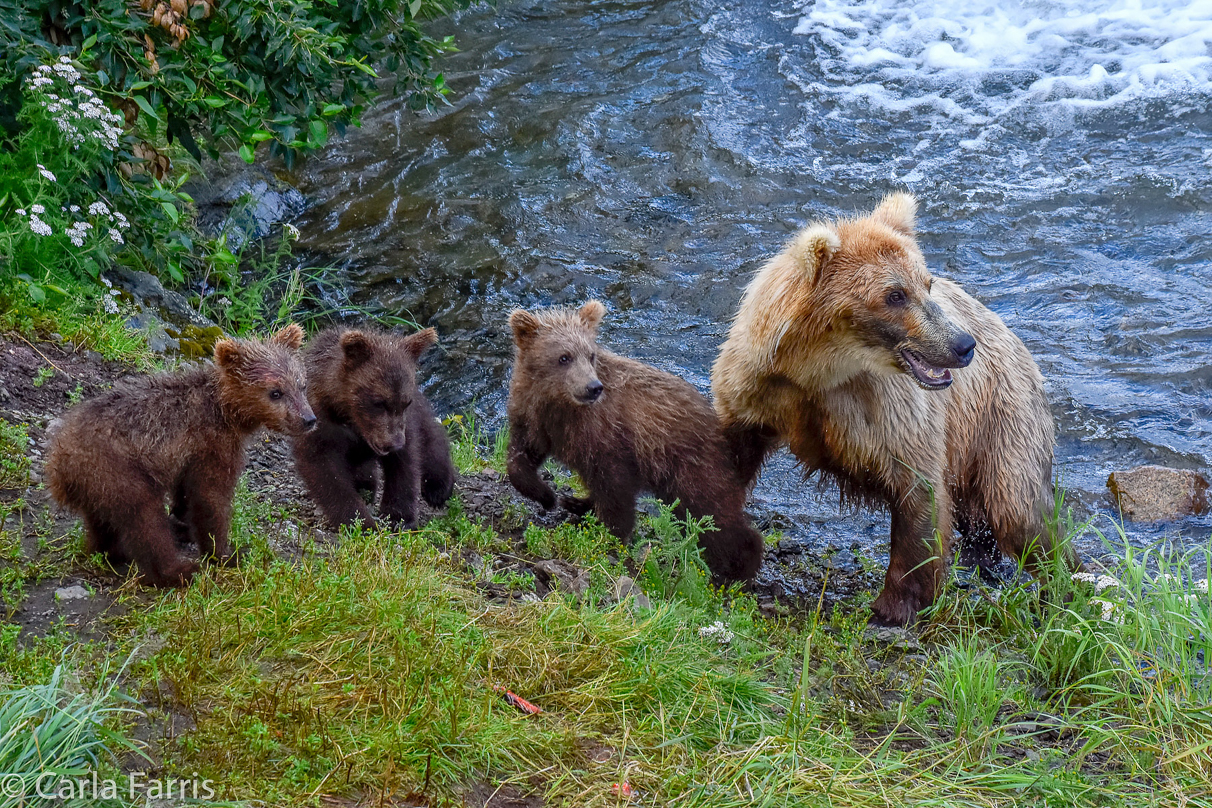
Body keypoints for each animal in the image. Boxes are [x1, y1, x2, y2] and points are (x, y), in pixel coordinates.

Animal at [712, 196, 1076, 625]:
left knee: (1019, 511)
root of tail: (1014, 339)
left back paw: (1068, 580)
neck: (816, 372)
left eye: (927, 283)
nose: (963, 344)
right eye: (895, 294)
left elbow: (919, 493)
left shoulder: (889, 411)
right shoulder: (757, 388)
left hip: (1003, 418)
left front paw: (894, 606)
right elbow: (728, 454)